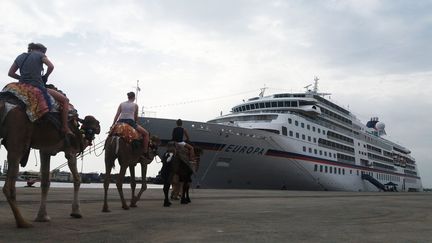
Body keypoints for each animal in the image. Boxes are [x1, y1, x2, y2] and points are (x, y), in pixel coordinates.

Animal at [0, 100, 100, 228]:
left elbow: (45, 182)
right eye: (94, 123)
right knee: (9, 185)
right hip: (17, 141)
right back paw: (22, 222)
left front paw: (42, 217)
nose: (99, 127)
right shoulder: (71, 151)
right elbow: (77, 179)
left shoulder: (45, 150)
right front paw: (76, 212)